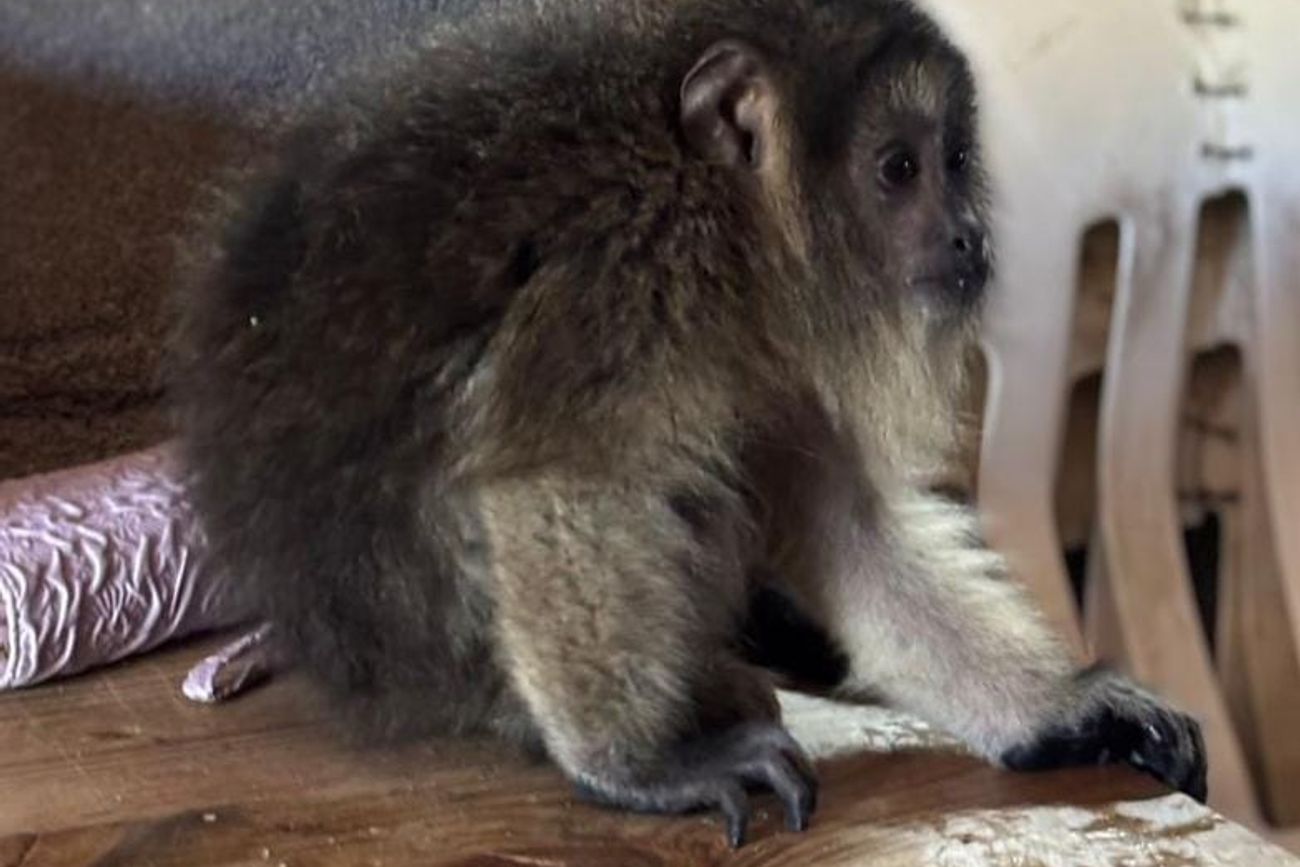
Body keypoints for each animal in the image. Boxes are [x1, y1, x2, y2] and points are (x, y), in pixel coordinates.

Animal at [167, 0, 1208, 848]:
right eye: (898, 168)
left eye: (955, 162)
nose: (969, 235)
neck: (729, 214)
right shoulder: (631, 265)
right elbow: (555, 479)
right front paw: (635, 769)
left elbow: (845, 527)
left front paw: (1063, 712)